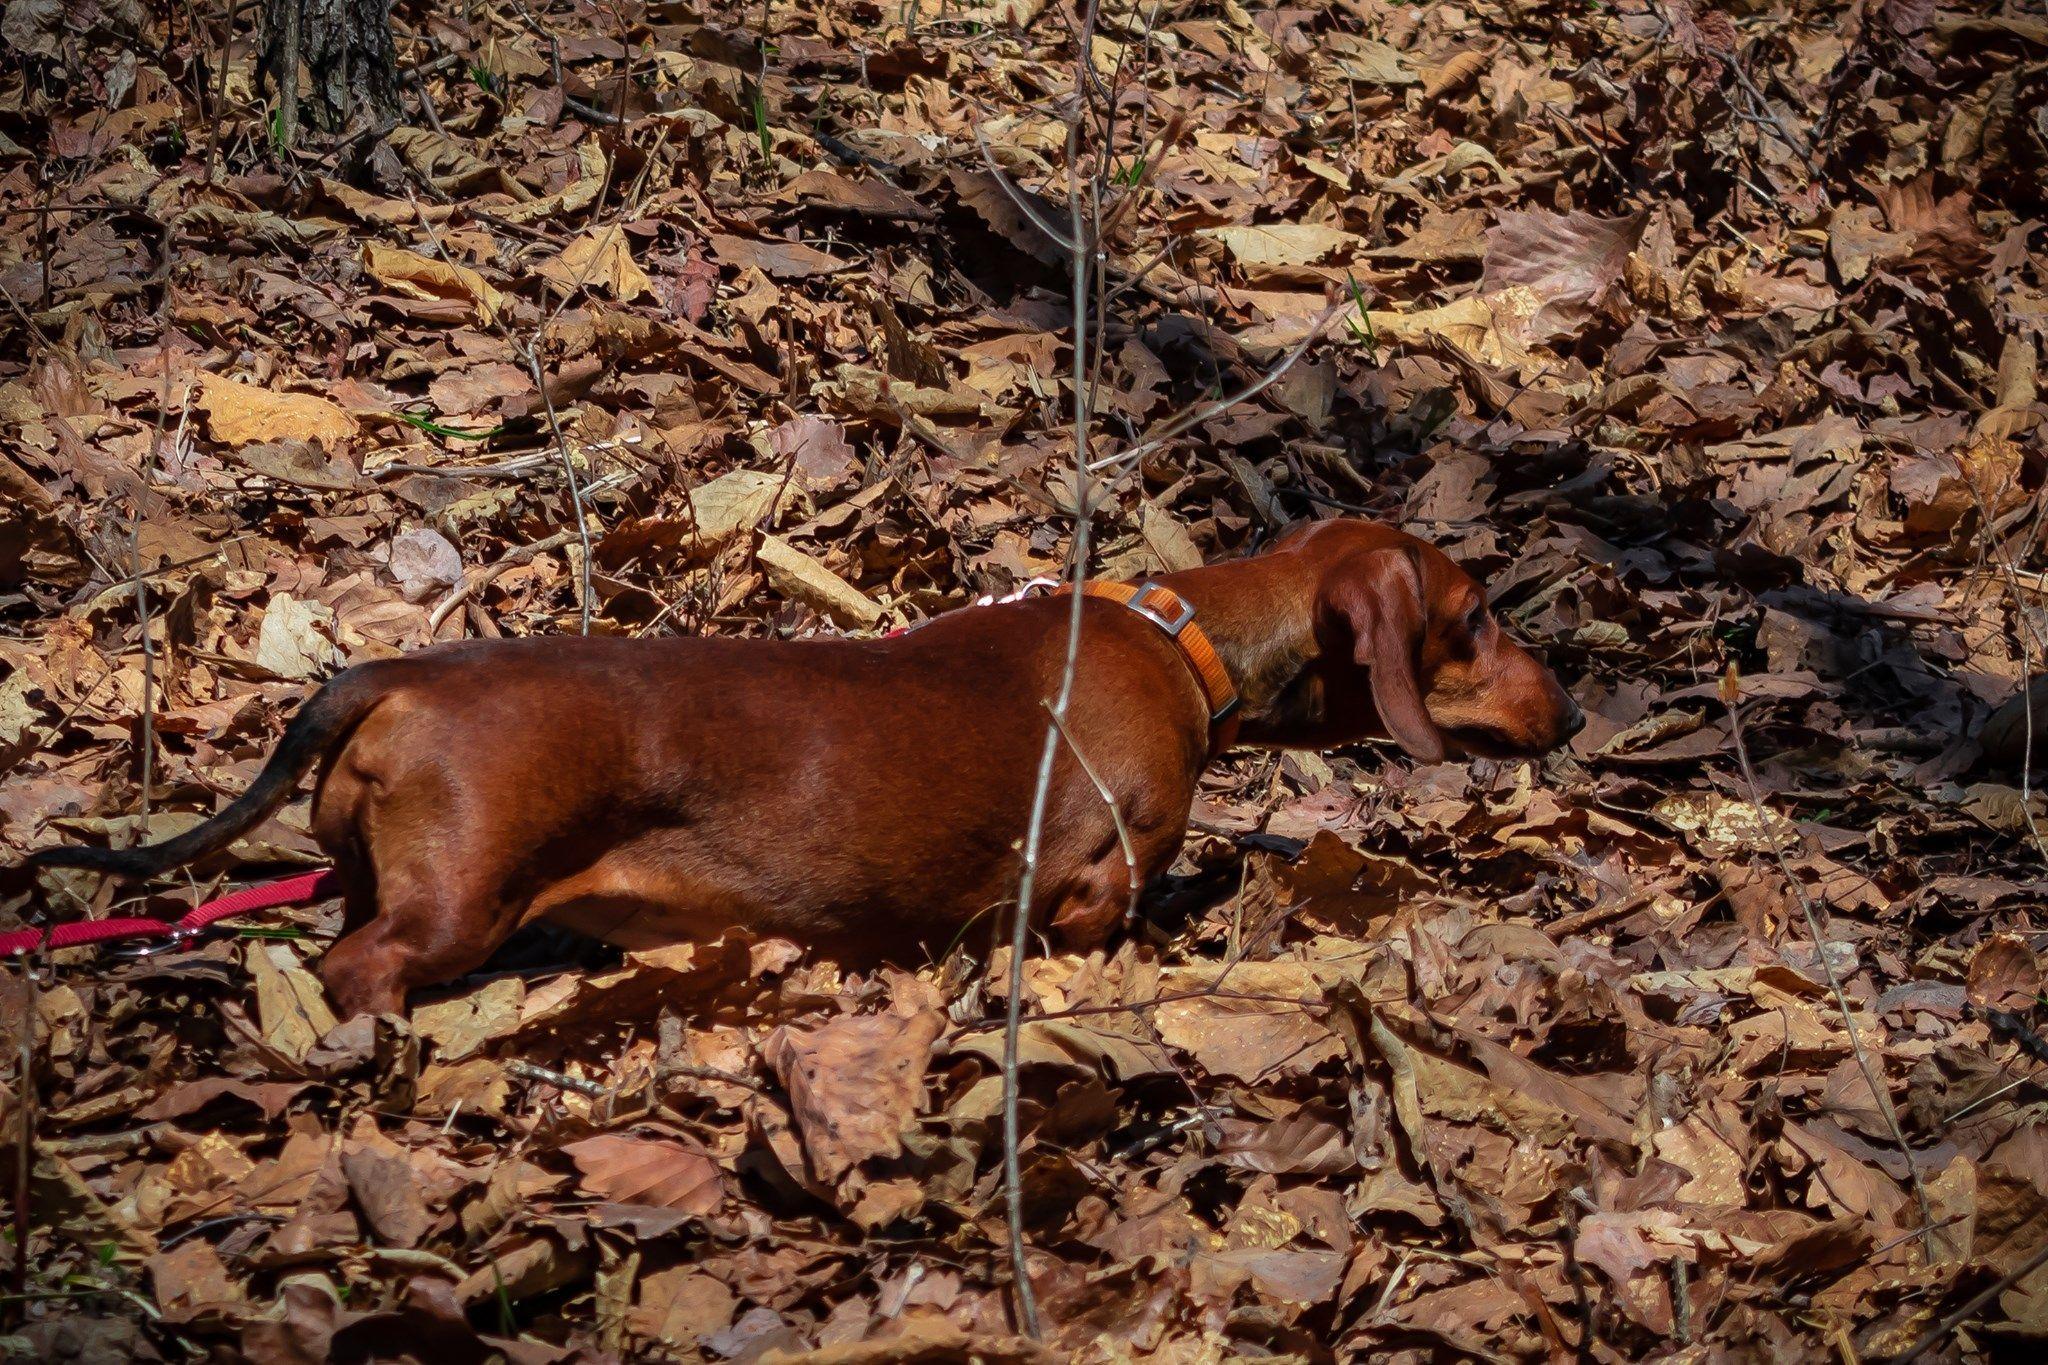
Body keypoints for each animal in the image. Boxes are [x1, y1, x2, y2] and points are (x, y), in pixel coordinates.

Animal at [19, 517, 1581, 1019]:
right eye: (1478, 616)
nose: (1570, 713)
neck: (1180, 639)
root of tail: (396, 673)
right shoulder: (1090, 891)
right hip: (454, 906)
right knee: (364, 973)